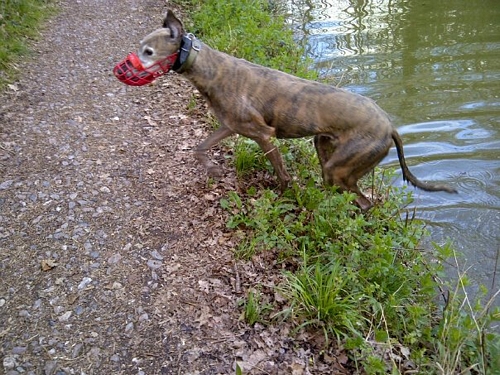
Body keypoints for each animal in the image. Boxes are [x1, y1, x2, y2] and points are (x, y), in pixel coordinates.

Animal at [115, 10, 458, 210]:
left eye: (148, 52)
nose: (119, 69)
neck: (210, 67)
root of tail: (389, 126)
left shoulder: (263, 135)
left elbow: (282, 175)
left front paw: (284, 195)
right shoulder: (230, 126)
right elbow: (199, 148)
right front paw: (212, 169)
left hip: (340, 169)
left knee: (364, 202)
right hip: (325, 150)